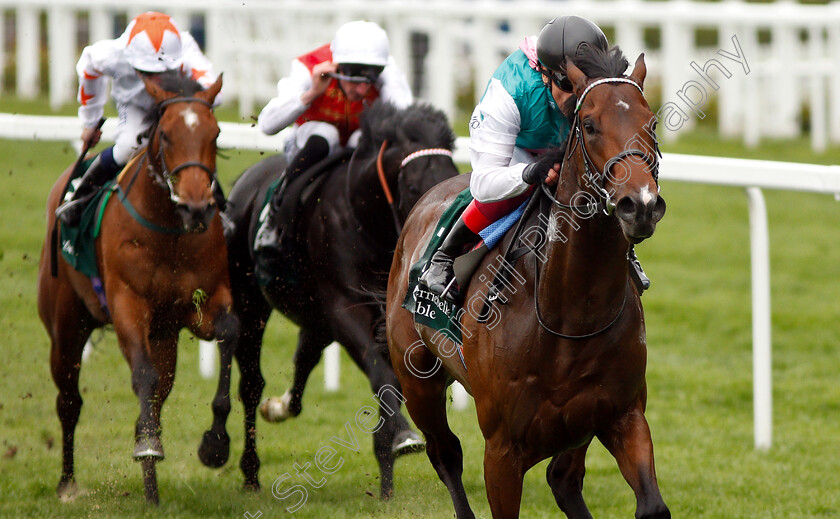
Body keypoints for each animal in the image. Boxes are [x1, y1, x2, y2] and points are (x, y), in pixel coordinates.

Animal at [37, 73, 238, 504]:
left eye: (215, 133)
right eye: (166, 135)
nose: (197, 207)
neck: (170, 232)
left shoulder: (200, 304)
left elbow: (229, 333)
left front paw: (214, 443)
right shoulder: (127, 302)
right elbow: (143, 375)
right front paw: (147, 445)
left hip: (163, 335)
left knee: (161, 390)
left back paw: (151, 488)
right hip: (65, 328)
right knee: (69, 401)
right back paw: (67, 482)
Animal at [223, 99, 460, 498]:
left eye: (452, 176)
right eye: (413, 185)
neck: (365, 220)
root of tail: (245, 180)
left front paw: (387, 481)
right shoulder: (345, 308)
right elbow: (382, 375)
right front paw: (404, 438)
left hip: (314, 319)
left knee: (303, 359)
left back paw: (280, 407)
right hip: (250, 301)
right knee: (252, 384)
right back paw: (251, 472)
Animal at [386, 50, 668, 516]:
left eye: (652, 123)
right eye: (589, 124)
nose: (640, 205)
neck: (571, 313)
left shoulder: (621, 414)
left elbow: (651, 505)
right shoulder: (502, 450)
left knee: (563, 478)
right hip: (417, 379)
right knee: (445, 454)